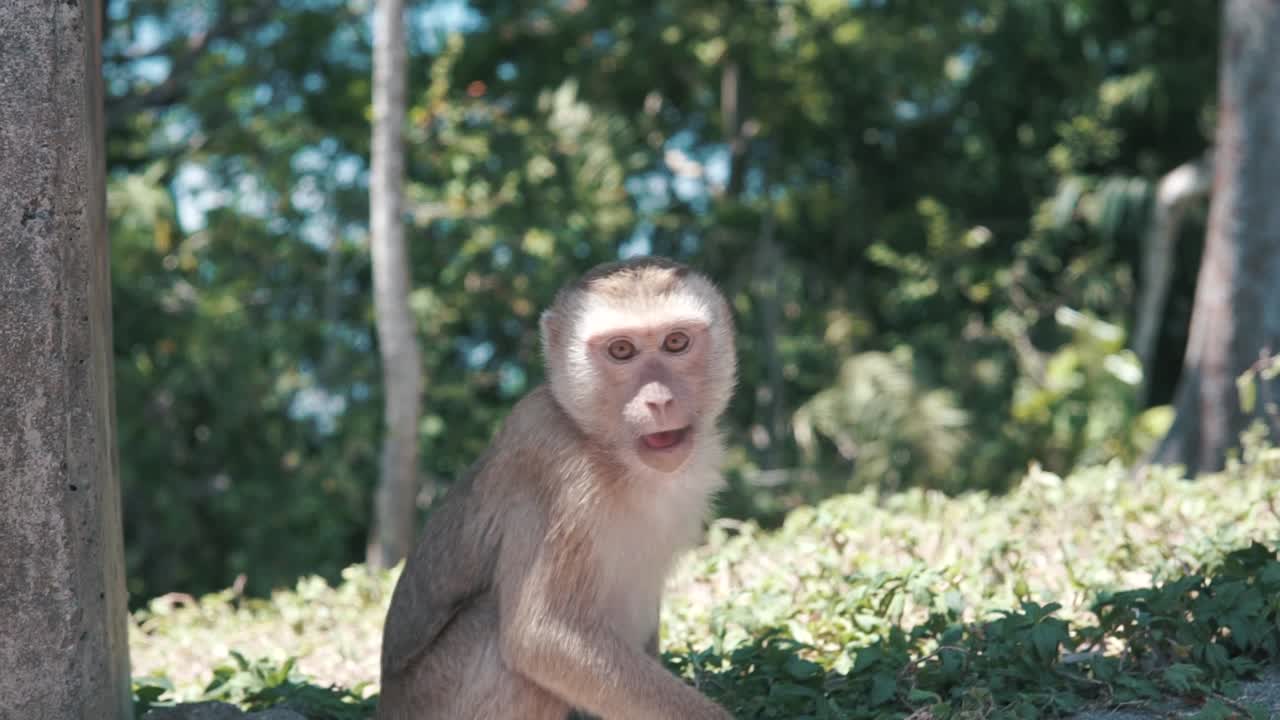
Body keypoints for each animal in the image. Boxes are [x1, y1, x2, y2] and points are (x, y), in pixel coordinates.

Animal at [377, 256, 737, 720]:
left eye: (676, 342)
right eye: (622, 350)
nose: (658, 400)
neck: (610, 454)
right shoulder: (557, 468)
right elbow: (542, 637)